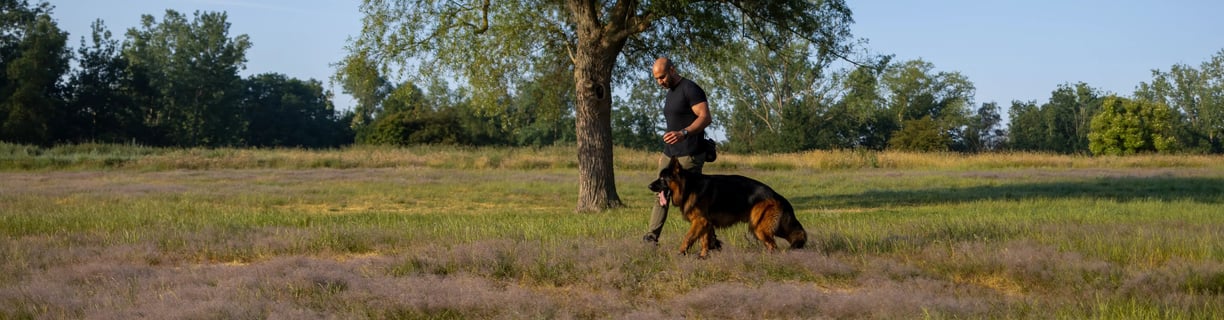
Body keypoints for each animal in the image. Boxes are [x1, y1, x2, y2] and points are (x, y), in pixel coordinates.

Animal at [646, 155, 807, 257]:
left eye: (662, 178)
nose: (649, 186)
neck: (688, 187)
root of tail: (776, 195)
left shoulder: (700, 221)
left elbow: (688, 238)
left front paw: (681, 253)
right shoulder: (705, 223)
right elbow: (705, 241)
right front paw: (703, 257)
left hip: (759, 228)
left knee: (773, 245)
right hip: (768, 227)